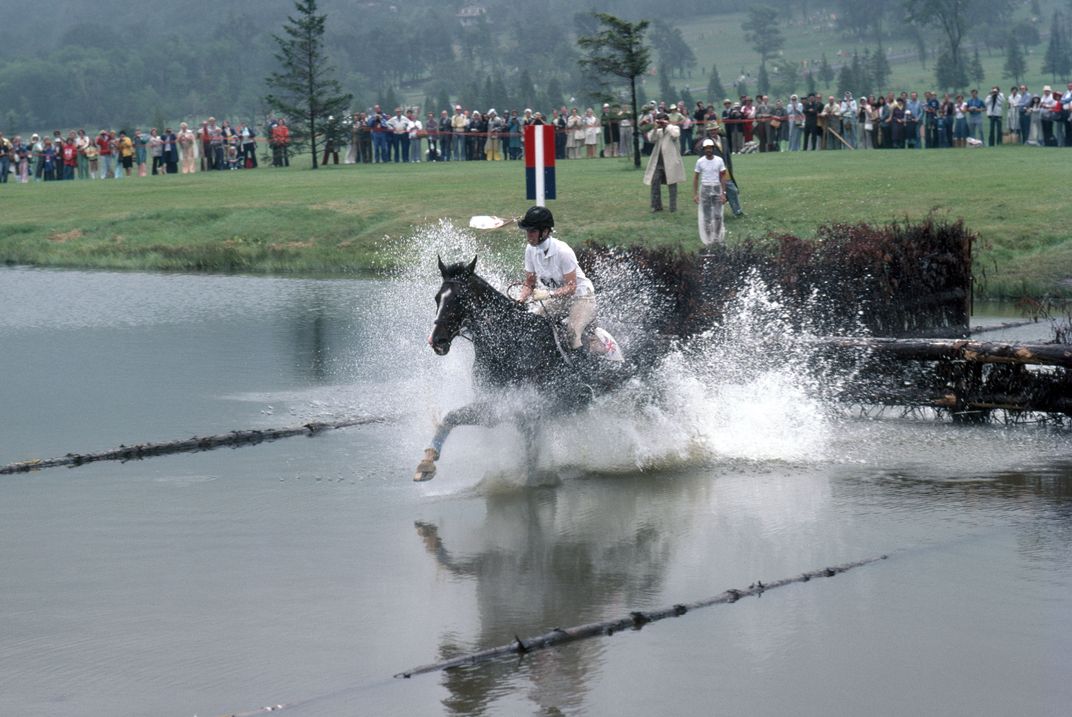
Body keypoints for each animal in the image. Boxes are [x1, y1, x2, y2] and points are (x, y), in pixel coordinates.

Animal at [413, 254, 626, 484]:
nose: (437, 341)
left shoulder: (518, 407)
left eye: (459, 299)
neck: (509, 343)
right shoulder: (500, 406)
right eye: (437, 298)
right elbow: (450, 417)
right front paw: (426, 464)